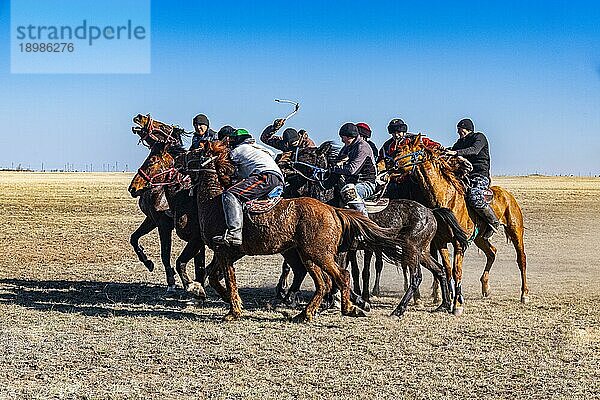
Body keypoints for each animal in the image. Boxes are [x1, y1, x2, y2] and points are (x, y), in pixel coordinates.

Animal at [380, 136, 528, 314]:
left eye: (400, 150)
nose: (383, 164)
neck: (446, 199)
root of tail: (508, 195)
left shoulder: (458, 243)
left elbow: (457, 271)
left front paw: (457, 305)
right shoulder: (440, 242)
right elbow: (447, 270)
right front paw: (447, 301)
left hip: (515, 230)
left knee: (521, 259)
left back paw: (524, 294)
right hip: (480, 238)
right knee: (492, 252)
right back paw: (486, 288)